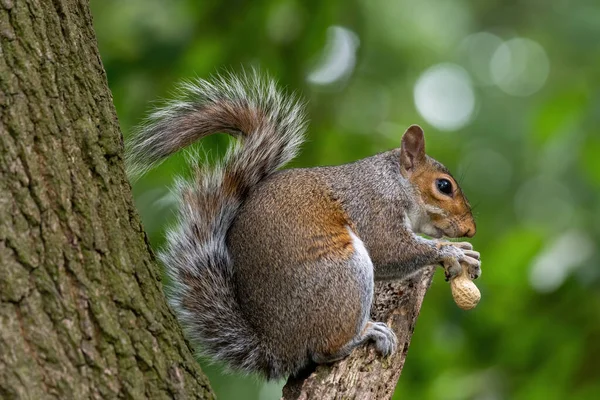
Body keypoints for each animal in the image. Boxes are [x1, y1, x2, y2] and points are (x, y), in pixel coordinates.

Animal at [127, 70, 482, 380]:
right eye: (444, 186)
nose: (470, 230)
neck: (392, 181)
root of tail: (277, 345)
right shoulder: (371, 207)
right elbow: (389, 249)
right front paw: (453, 252)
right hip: (343, 272)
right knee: (323, 350)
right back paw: (366, 333)